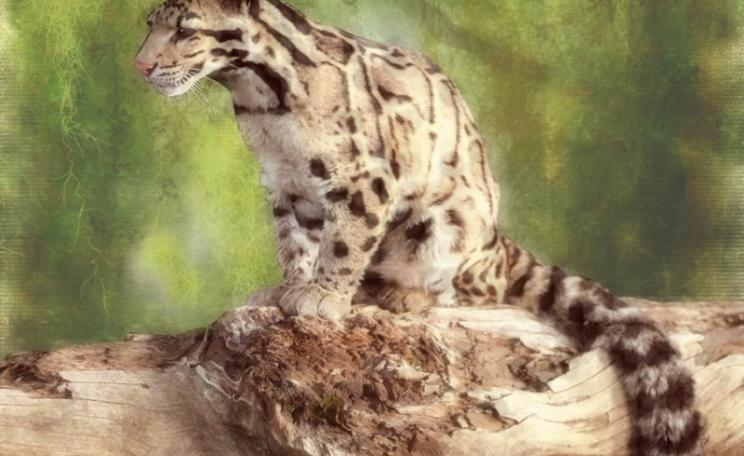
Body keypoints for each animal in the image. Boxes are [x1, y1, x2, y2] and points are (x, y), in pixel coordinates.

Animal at [135, 1, 703, 454]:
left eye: (185, 30)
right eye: (149, 25)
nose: (141, 64)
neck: (261, 96)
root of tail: (498, 244)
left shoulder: (367, 176)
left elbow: (344, 242)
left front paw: (323, 296)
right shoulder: (286, 183)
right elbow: (295, 242)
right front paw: (289, 287)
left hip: (443, 226)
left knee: (468, 291)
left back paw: (401, 294)